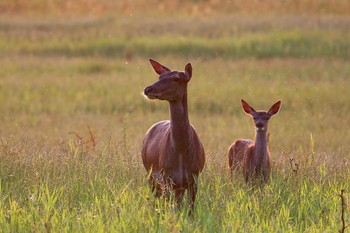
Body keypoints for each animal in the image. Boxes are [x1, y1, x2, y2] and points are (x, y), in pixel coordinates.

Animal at [142, 58, 205, 209]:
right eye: (160, 77)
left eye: (176, 78)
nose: (148, 89)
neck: (181, 150)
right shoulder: (167, 178)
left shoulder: (194, 178)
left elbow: (190, 209)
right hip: (150, 174)